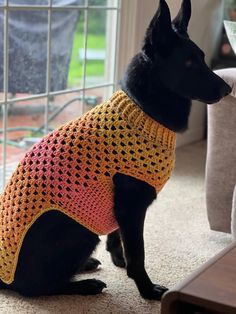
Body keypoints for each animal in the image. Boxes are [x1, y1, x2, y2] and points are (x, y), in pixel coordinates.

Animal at [0, 0, 231, 300]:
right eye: (189, 62)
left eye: (202, 58)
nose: (228, 89)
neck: (142, 110)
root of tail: (4, 279)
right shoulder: (131, 208)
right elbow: (138, 254)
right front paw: (146, 289)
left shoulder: (118, 211)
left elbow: (116, 238)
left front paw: (119, 261)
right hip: (81, 231)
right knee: (36, 288)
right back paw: (84, 285)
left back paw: (84, 266)